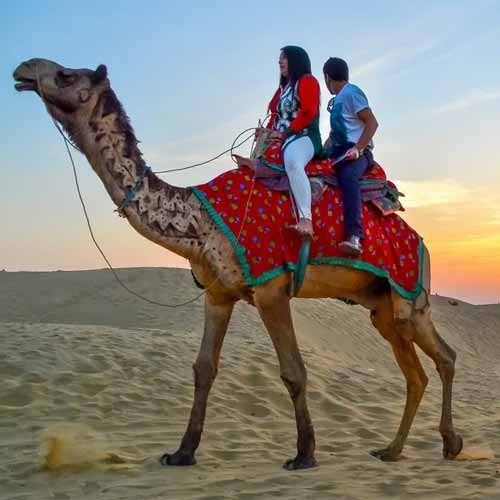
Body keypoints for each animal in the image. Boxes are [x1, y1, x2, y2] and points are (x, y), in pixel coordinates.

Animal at [12, 58, 464, 468]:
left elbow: (293, 371)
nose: (23, 69)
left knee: (444, 357)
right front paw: (182, 453)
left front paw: (304, 454)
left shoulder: (270, 288)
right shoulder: (218, 293)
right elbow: (203, 368)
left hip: (410, 295)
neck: (200, 220)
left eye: (66, 75)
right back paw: (393, 449)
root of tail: (421, 242)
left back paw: (449, 443)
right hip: (381, 306)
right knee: (417, 372)